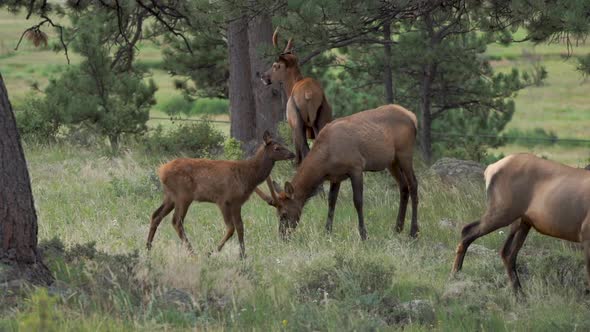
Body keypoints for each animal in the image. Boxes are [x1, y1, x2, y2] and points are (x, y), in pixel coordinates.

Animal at [148, 131, 296, 258]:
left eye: (283, 144)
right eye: (277, 148)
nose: (293, 154)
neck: (248, 177)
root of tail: (161, 171)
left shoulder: (238, 202)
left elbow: (240, 227)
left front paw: (243, 255)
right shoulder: (224, 200)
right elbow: (231, 228)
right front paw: (211, 252)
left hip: (170, 196)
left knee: (156, 215)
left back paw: (148, 247)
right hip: (183, 195)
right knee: (176, 221)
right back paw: (193, 253)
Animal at [256, 104, 418, 239]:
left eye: (284, 214)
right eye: (277, 214)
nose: (283, 235)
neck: (325, 161)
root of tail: (413, 117)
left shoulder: (356, 167)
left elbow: (358, 201)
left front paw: (363, 234)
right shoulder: (336, 176)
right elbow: (331, 202)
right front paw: (327, 232)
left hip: (405, 153)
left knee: (413, 185)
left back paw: (413, 232)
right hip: (392, 161)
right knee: (403, 187)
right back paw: (398, 228)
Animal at [262, 28, 336, 165]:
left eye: (275, 65)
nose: (263, 76)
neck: (292, 85)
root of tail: (308, 94)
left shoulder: (292, 127)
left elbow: (297, 157)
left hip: (298, 123)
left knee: (304, 152)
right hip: (322, 119)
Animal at [454, 154, 590, 294]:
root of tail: (490, 169)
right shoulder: (586, 236)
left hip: (522, 221)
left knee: (507, 253)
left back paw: (519, 293)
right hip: (503, 211)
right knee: (467, 230)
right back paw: (456, 274)